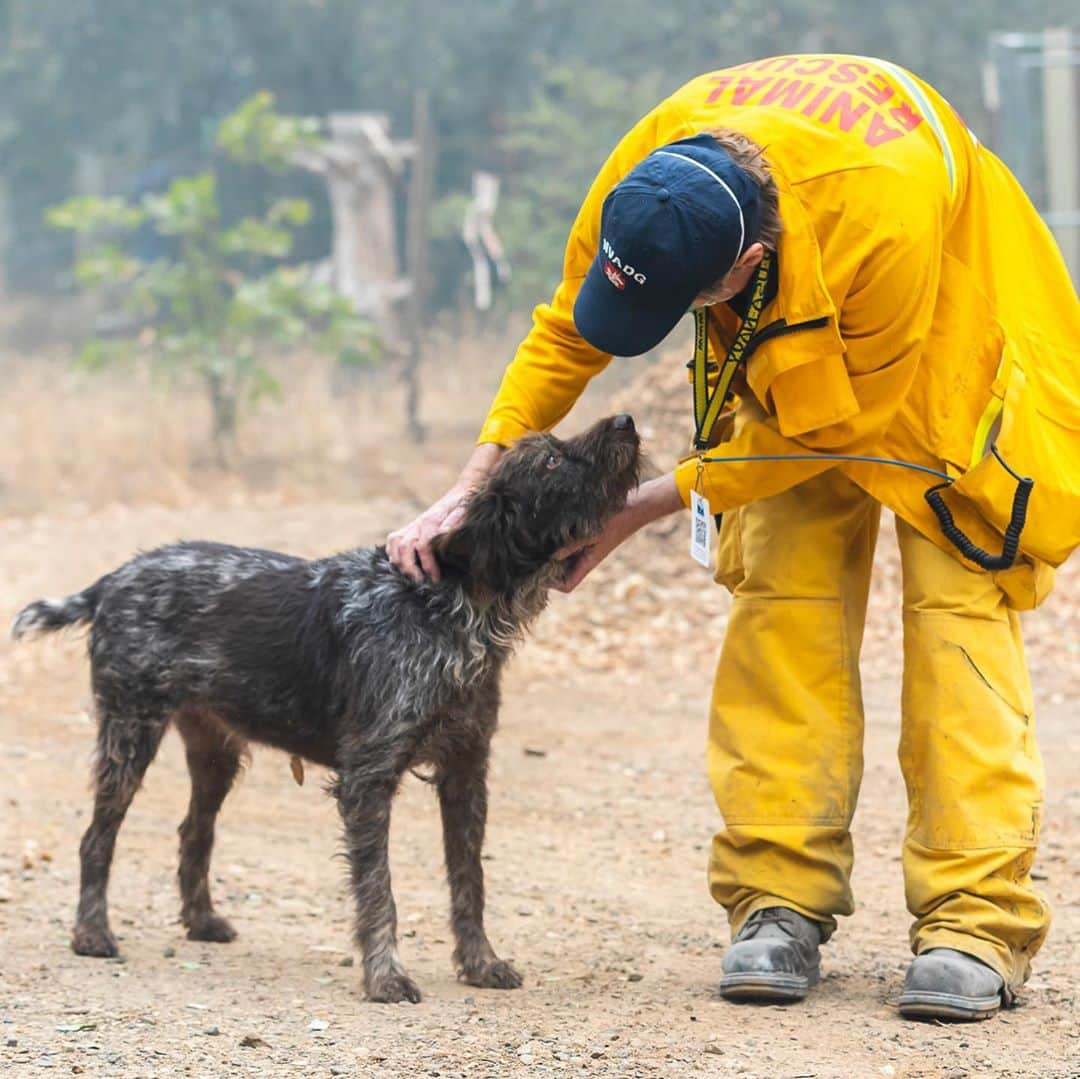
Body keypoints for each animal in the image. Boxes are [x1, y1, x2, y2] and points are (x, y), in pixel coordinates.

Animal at [12, 410, 639, 1002]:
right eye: (550, 461)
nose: (627, 421)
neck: (449, 606)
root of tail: (112, 580)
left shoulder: (466, 770)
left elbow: (470, 880)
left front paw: (481, 963)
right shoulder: (368, 778)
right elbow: (379, 890)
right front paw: (385, 976)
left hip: (214, 755)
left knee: (194, 831)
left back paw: (202, 920)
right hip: (130, 733)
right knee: (96, 838)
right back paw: (92, 933)